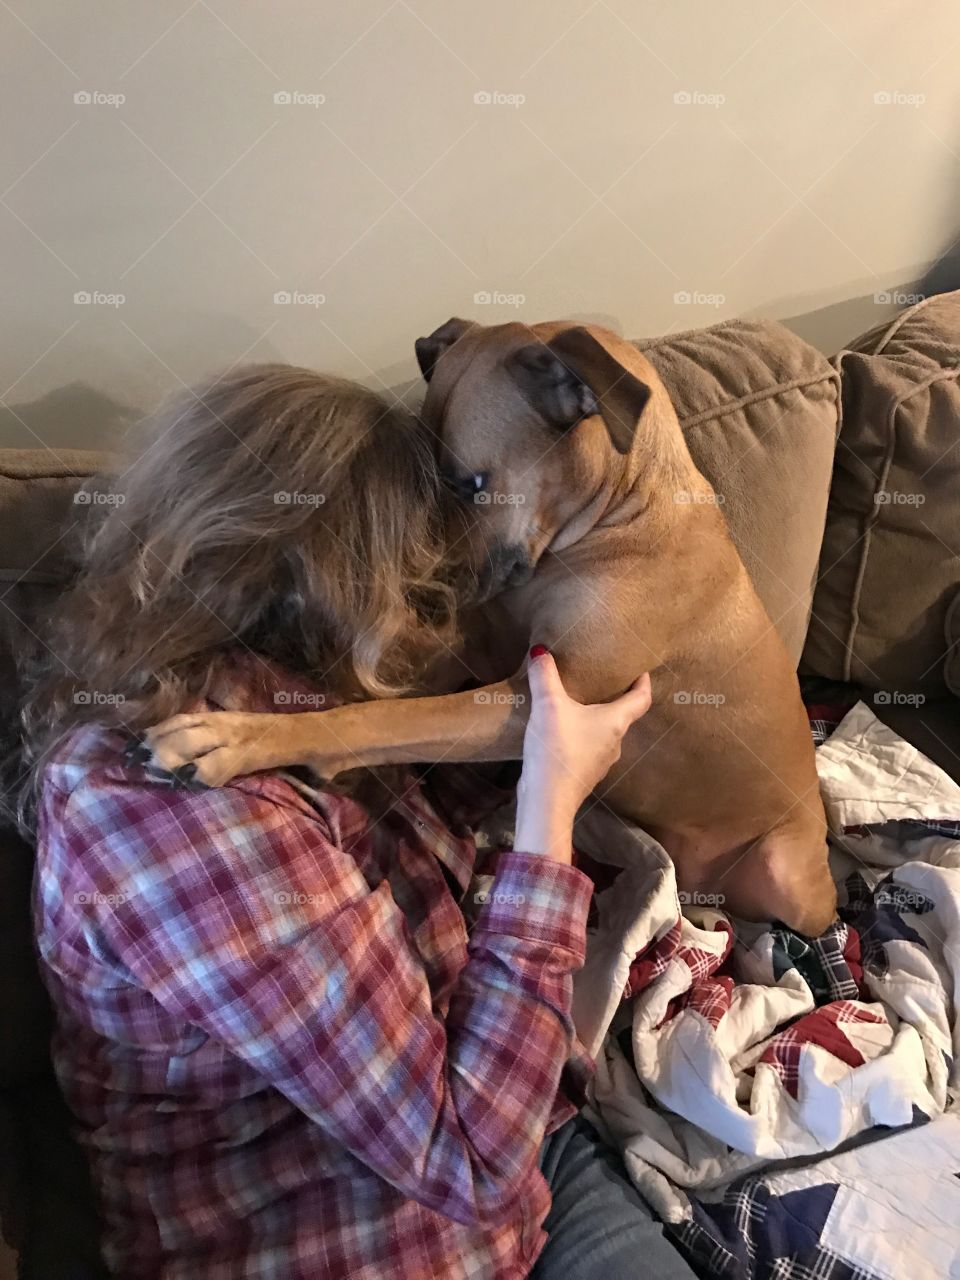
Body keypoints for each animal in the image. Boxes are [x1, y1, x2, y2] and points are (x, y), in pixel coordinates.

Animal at [146, 320, 839, 936]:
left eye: (470, 484)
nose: (425, 595)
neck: (623, 517)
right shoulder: (486, 652)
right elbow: (396, 700)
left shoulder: (530, 699)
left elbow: (381, 719)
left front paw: (237, 738)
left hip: (784, 868)